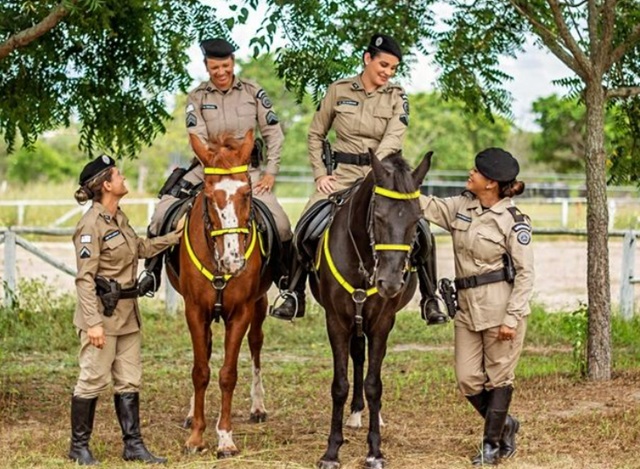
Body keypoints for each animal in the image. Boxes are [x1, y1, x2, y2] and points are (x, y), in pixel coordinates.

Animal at [166, 129, 272, 458]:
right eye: (210, 197)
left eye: (247, 194)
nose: (233, 260)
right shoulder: (194, 310)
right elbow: (200, 371)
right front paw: (196, 436)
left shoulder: (241, 313)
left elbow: (228, 374)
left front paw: (225, 438)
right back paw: (191, 414)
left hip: (259, 306)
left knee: (256, 344)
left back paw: (258, 406)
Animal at [312, 150, 432, 468]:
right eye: (378, 217)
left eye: (417, 219)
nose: (389, 283)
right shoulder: (336, 321)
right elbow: (339, 385)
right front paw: (332, 451)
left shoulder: (382, 322)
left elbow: (374, 384)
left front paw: (374, 450)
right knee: (357, 356)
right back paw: (355, 413)